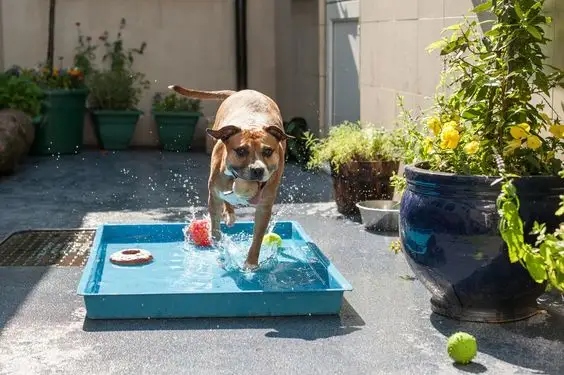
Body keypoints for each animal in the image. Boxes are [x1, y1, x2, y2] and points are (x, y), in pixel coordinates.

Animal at [167, 86, 290, 268]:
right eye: (241, 151)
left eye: (268, 151)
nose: (257, 170)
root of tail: (241, 91)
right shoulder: (214, 196)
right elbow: (215, 228)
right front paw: (220, 246)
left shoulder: (264, 207)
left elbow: (257, 238)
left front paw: (251, 263)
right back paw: (229, 214)